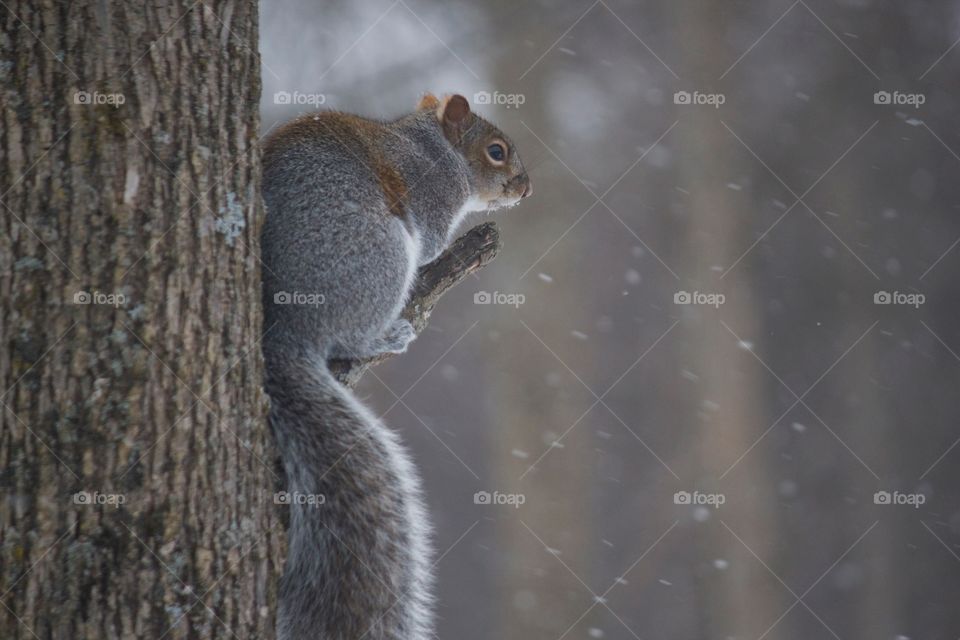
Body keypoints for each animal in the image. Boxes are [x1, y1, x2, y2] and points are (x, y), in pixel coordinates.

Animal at [260, 91, 532, 640]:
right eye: (496, 152)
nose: (526, 186)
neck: (434, 143)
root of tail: (285, 332)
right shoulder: (433, 198)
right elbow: (432, 244)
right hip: (383, 252)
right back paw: (387, 334)